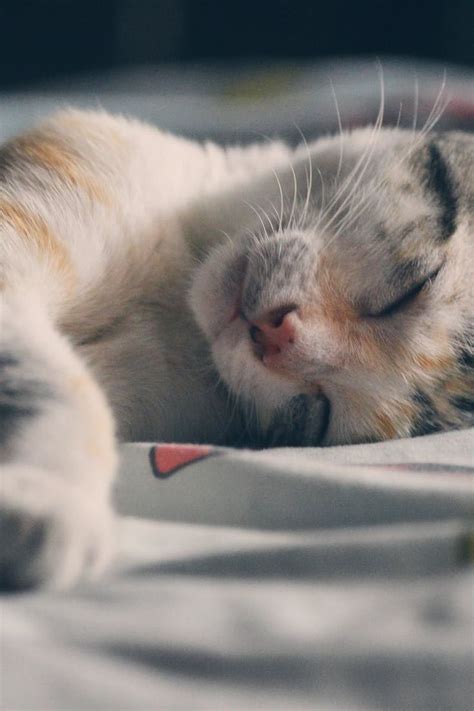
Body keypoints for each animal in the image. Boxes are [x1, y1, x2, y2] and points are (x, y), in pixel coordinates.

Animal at [0, 110, 472, 588]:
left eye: (320, 416)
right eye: (413, 287)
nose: (276, 337)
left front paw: (46, 496)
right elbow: (53, 380)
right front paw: (46, 494)